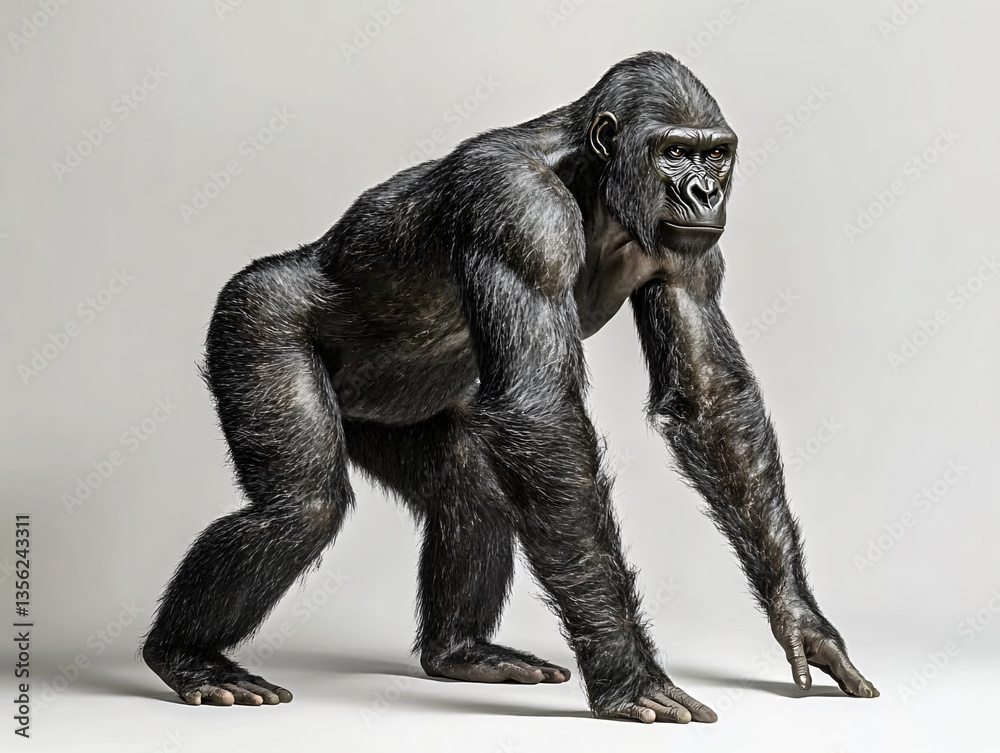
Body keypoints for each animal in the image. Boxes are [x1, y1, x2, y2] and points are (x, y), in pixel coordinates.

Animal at [142, 51, 878, 724]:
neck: (596, 186)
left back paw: (461, 651)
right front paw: (628, 670)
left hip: (388, 420)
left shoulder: (689, 254)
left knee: (472, 491)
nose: (704, 190)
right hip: (252, 323)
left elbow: (709, 396)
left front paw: (801, 619)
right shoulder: (521, 214)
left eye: (715, 154)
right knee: (301, 506)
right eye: (673, 152)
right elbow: (543, 414)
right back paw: (187, 657)